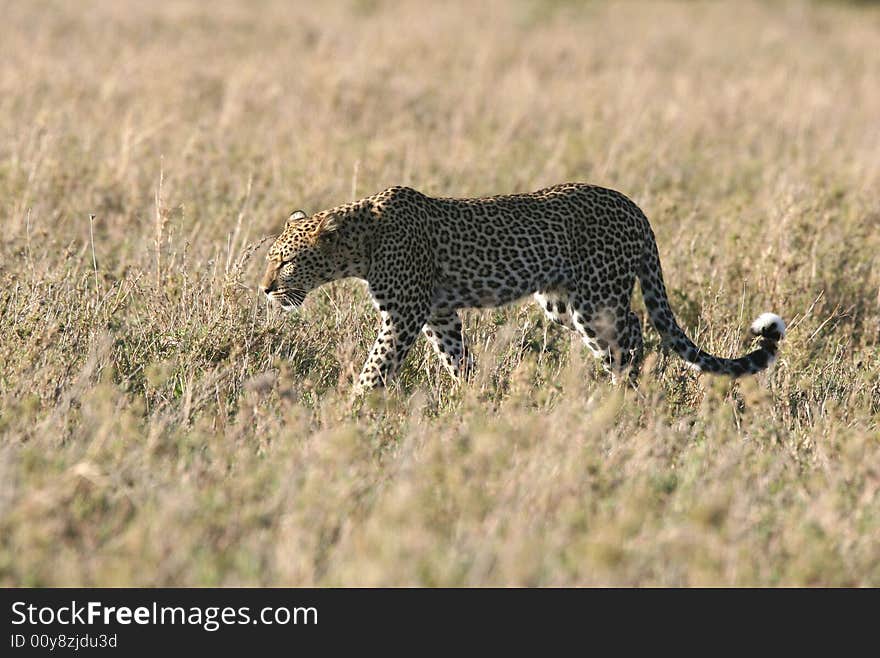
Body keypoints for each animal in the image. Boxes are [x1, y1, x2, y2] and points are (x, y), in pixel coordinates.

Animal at [260, 182, 784, 392]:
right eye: (270, 260)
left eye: (285, 262)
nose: (265, 290)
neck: (358, 245)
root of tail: (632, 206)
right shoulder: (438, 314)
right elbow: (455, 356)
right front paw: (474, 396)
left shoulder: (405, 314)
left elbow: (376, 366)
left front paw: (353, 409)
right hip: (561, 303)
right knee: (631, 333)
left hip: (596, 299)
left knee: (632, 336)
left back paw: (626, 397)